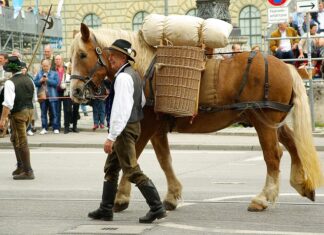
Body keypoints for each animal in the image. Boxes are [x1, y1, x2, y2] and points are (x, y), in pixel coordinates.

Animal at [69, 23, 322, 213]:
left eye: (82, 54)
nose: (75, 91)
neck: (145, 68)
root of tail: (286, 67)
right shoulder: (158, 128)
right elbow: (165, 160)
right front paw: (172, 195)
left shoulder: (146, 124)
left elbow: (132, 157)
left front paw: (121, 197)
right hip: (273, 122)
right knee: (292, 145)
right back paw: (301, 184)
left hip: (263, 122)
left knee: (273, 155)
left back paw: (263, 198)